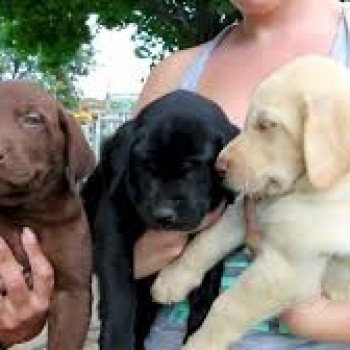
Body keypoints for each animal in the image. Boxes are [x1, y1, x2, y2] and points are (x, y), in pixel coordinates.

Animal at [82, 91, 241, 350]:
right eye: (147, 166)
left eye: (191, 168)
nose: (164, 215)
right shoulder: (113, 228)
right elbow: (119, 291)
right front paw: (117, 341)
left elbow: (206, 294)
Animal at [152, 56, 350, 348]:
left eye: (267, 125)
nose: (218, 168)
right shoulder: (245, 210)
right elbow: (205, 244)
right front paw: (172, 278)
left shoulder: (285, 271)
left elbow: (227, 307)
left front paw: (199, 344)